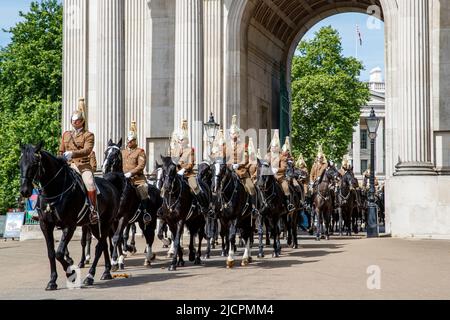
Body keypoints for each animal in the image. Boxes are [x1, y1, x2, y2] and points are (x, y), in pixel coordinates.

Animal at [19, 144, 118, 288]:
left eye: (34, 163)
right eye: (20, 164)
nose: (24, 191)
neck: (54, 190)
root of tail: (111, 185)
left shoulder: (69, 225)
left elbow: (59, 253)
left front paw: (71, 273)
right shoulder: (46, 225)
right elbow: (51, 253)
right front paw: (52, 281)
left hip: (105, 223)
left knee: (99, 247)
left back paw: (90, 276)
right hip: (93, 225)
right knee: (103, 244)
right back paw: (106, 272)